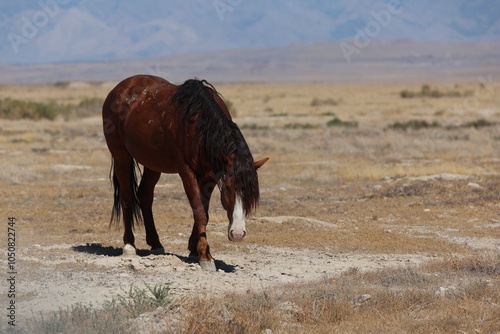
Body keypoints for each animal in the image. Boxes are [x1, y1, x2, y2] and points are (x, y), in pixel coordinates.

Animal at [99, 75, 268, 272]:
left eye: (251, 194)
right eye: (227, 189)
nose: (238, 233)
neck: (200, 125)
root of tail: (120, 88)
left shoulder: (210, 175)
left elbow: (204, 211)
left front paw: (195, 250)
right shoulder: (187, 171)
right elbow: (199, 211)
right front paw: (206, 257)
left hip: (153, 163)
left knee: (145, 196)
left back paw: (156, 244)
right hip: (121, 156)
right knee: (127, 197)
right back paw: (129, 246)